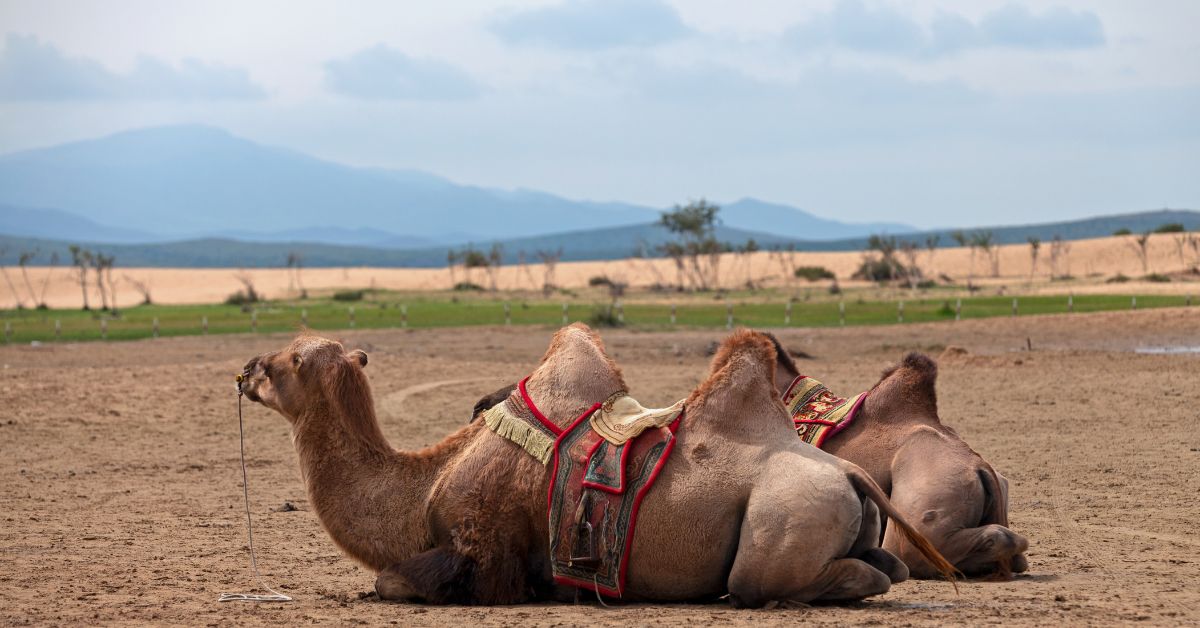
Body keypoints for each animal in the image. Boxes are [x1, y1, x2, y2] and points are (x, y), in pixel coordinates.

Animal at [241, 326, 955, 607]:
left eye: (287, 362)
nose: (246, 370)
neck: (427, 485)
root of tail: (851, 474)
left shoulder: (482, 548)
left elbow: (392, 581)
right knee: (887, 566)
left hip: (781, 525)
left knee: (777, 581)